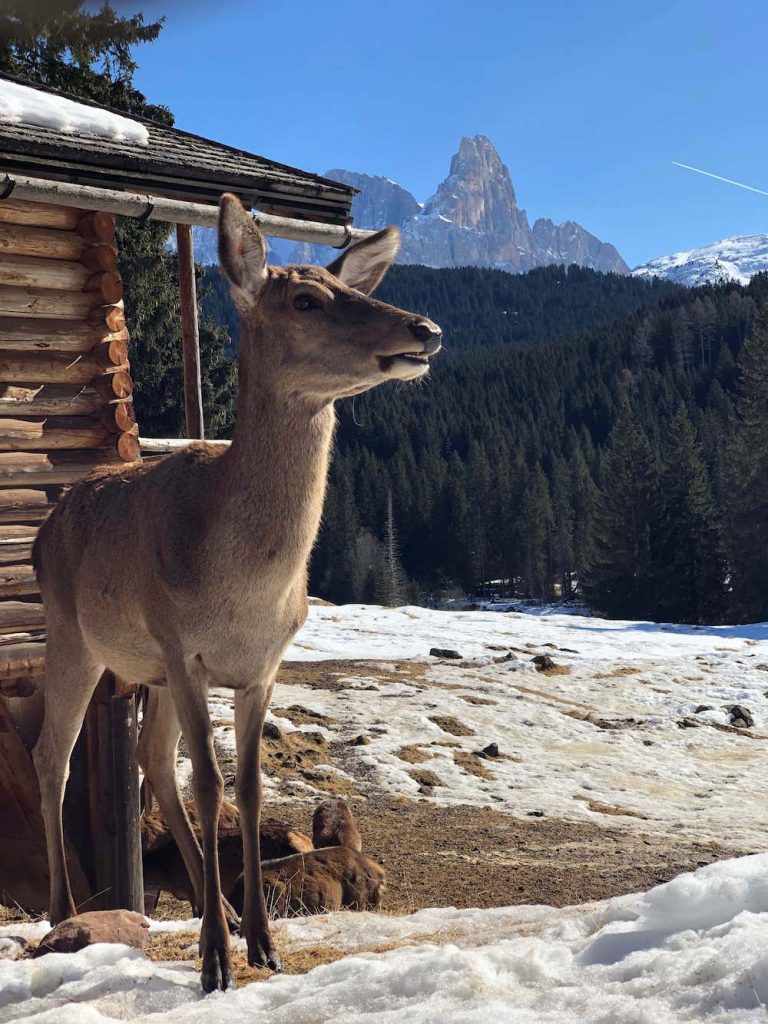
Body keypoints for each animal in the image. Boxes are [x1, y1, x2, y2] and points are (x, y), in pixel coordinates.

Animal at [30, 192, 442, 991]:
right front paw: (219, 961)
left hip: (149, 671)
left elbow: (248, 788)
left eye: (351, 285)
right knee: (52, 756)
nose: (426, 329)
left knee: (150, 762)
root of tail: (45, 526)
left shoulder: (262, 666)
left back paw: (209, 911)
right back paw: (62, 915)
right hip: (73, 636)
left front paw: (258, 943)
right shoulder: (182, 647)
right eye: (308, 300)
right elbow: (212, 786)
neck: (245, 591)